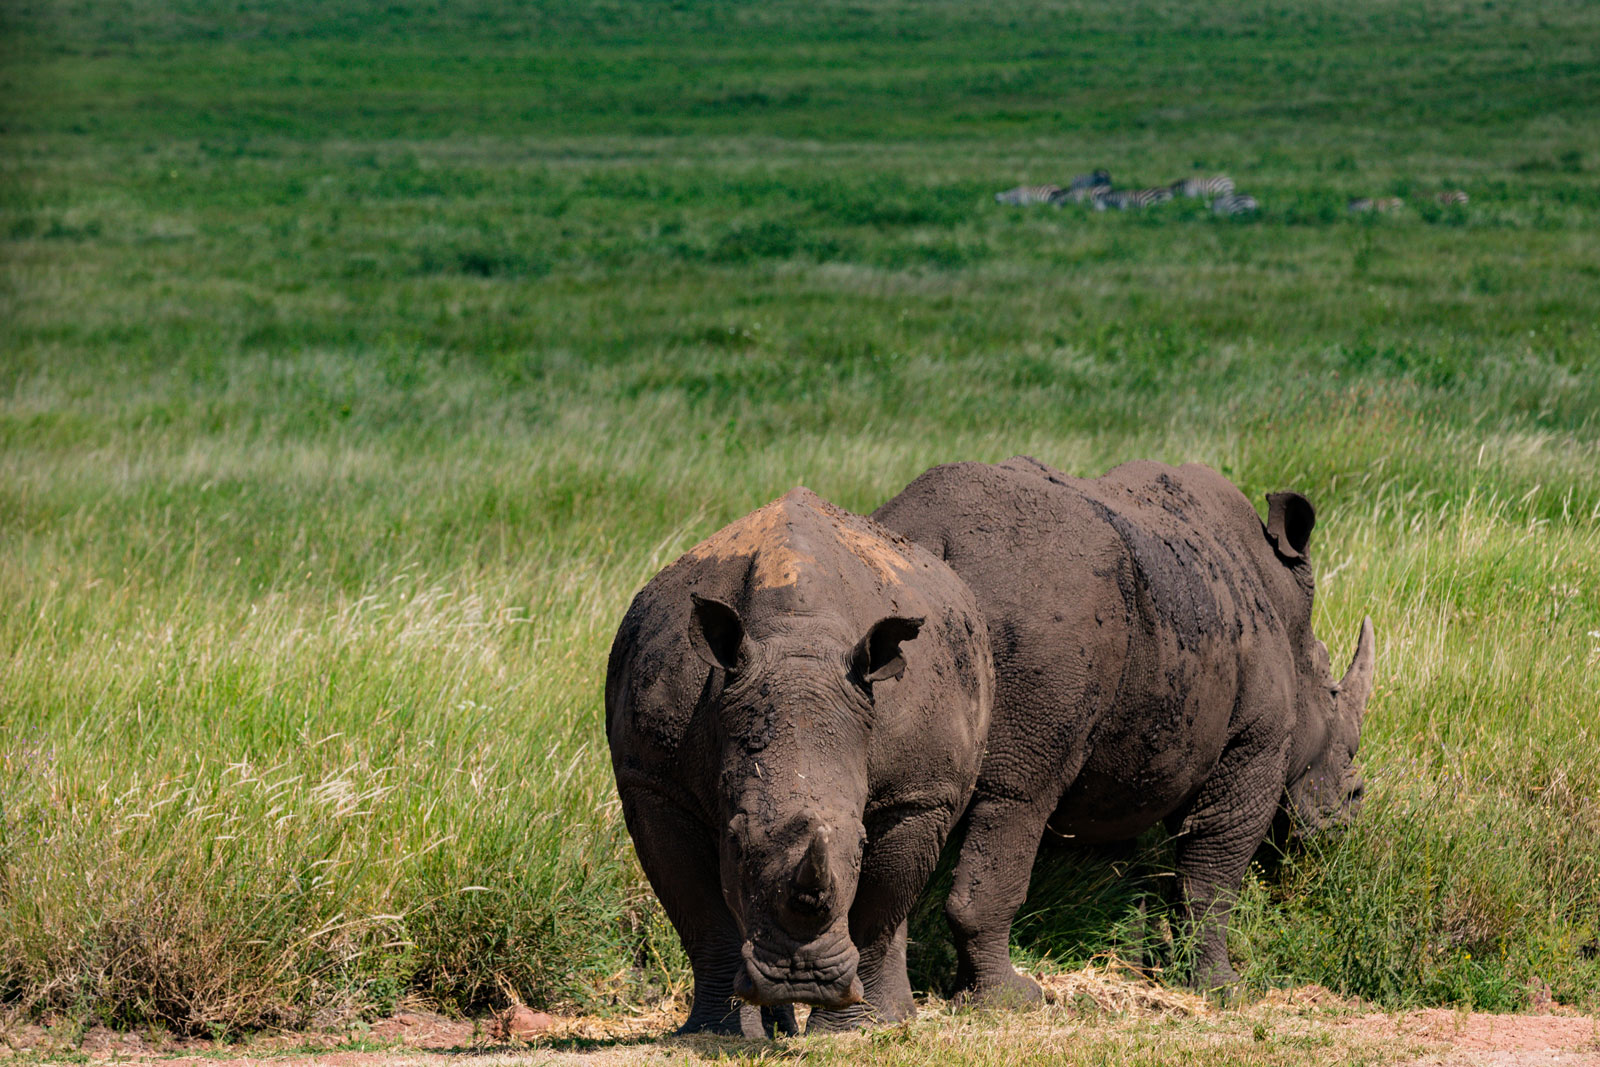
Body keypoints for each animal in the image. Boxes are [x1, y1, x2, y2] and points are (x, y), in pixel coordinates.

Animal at [605, 488, 993, 1035]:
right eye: (734, 841)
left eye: (860, 843)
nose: (800, 978)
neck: (799, 643)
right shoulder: (656, 782)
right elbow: (703, 915)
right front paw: (719, 1033)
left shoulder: (919, 792)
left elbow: (877, 909)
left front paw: (852, 1030)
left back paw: (890, 1018)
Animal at [872, 457, 1374, 1000]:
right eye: (1331, 692)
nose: (1351, 810)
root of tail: (931, 534)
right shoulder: (1254, 741)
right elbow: (1213, 872)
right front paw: (1222, 989)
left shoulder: (1123, 756)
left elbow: (1116, 881)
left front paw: (1128, 968)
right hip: (1046, 611)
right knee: (1019, 797)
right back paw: (1011, 1000)